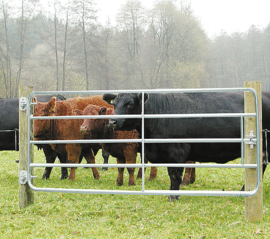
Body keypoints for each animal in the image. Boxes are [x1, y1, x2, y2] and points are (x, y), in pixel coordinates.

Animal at [103, 91, 270, 200]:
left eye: (130, 104)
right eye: (115, 103)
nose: (113, 122)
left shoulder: (177, 151)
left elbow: (174, 175)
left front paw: (173, 196)